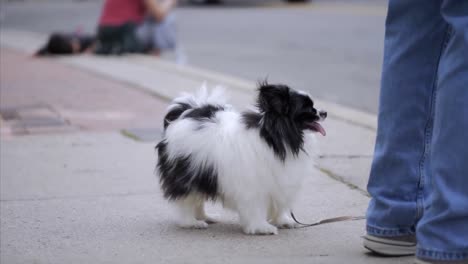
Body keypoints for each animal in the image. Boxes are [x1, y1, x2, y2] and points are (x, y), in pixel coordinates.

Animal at [155, 83, 328, 235]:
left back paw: (205, 217)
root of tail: (186, 112)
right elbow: (256, 208)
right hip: (186, 174)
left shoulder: (280, 183)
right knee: (185, 200)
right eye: (307, 108)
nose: (324, 112)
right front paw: (261, 228)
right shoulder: (254, 187)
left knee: (197, 199)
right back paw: (191, 222)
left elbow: (280, 205)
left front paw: (283, 221)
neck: (275, 139)